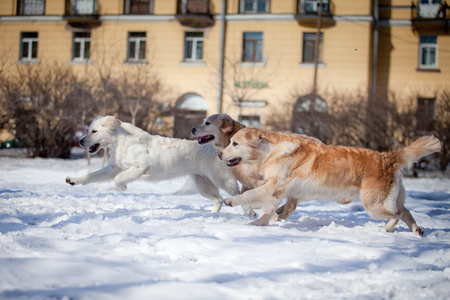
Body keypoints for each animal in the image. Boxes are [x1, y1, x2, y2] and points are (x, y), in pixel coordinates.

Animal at [65, 115, 241, 213]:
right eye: (89, 130)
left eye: (94, 131)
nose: (80, 141)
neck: (120, 142)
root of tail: (222, 148)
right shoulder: (113, 168)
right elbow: (91, 176)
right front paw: (73, 180)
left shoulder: (139, 167)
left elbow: (118, 179)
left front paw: (123, 188)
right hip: (203, 183)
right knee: (218, 200)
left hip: (223, 180)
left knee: (239, 194)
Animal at [221, 127, 440, 236]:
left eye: (235, 143)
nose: (219, 153)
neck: (272, 149)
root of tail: (388, 157)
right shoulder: (278, 191)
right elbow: (269, 210)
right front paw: (258, 224)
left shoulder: (275, 186)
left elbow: (250, 195)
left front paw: (231, 201)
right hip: (391, 199)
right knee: (406, 211)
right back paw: (417, 230)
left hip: (374, 205)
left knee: (397, 214)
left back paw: (387, 229)